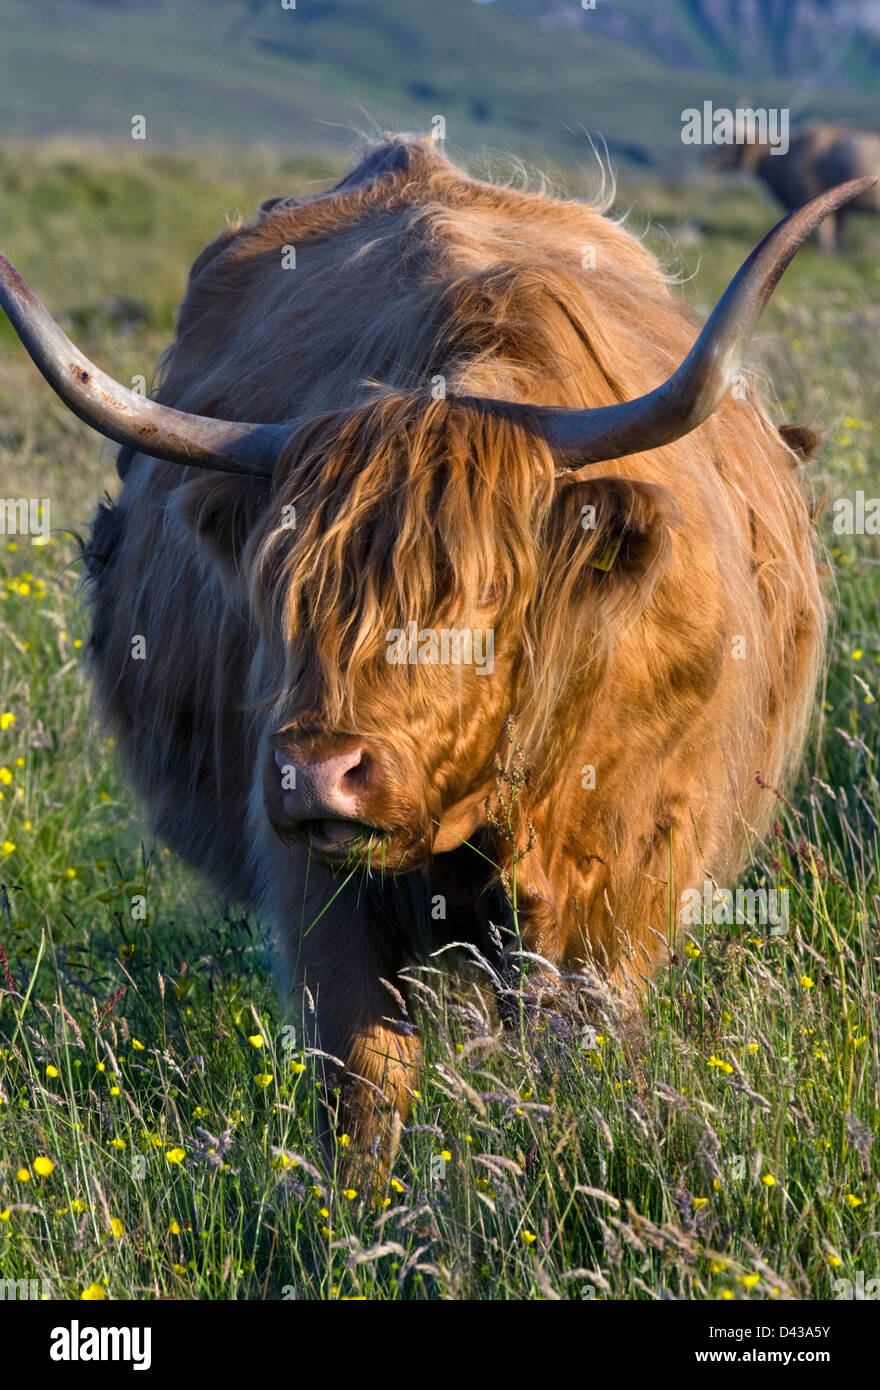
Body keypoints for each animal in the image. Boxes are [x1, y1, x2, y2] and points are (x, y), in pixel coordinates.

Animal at [1, 138, 873, 1176]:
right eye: (282, 588)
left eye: (482, 596)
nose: (317, 773)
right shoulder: (319, 890)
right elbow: (364, 1080)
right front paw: (355, 1208)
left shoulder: (626, 871)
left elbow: (575, 1060)